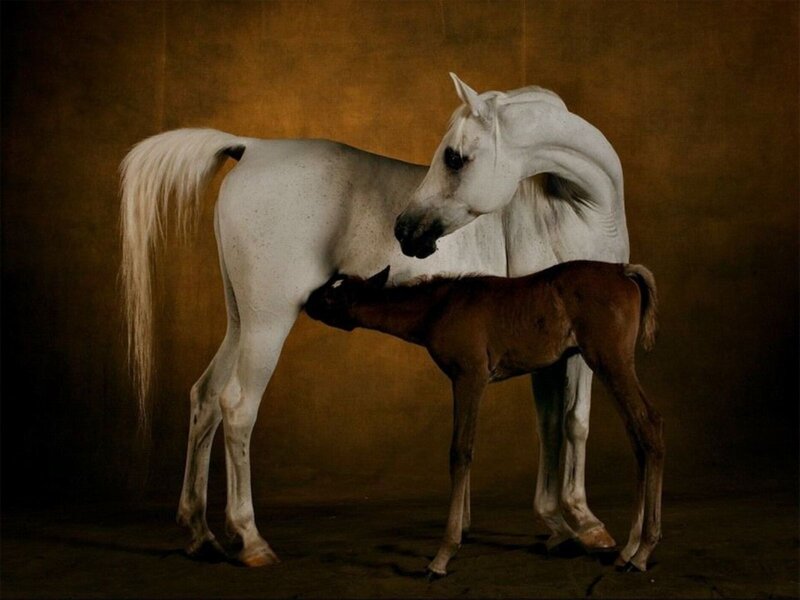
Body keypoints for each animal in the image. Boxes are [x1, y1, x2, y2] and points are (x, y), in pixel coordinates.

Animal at [120, 73, 628, 567]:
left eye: (454, 158)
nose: (404, 229)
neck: (577, 212)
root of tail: (252, 147)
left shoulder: (560, 349)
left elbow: (560, 423)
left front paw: (563, 524)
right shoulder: (564, 347)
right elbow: (567, 422)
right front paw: (580, 523)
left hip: (240, 322)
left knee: (205, 398)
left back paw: (200, 534)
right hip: (267, 324)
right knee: (238, 407)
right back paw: (250, 539)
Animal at [305, 262, 662, 575]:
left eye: (332, 296)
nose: (308, 301)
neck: (439, 307)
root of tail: (623, 270)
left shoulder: (469, 376)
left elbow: (460, 451)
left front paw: (444, 553)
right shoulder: (468, 380)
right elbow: (468, 450)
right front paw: (461, 530)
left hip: (609, 359)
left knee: (648, 424)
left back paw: (642, 552)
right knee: (638, 433)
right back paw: (628, 549)